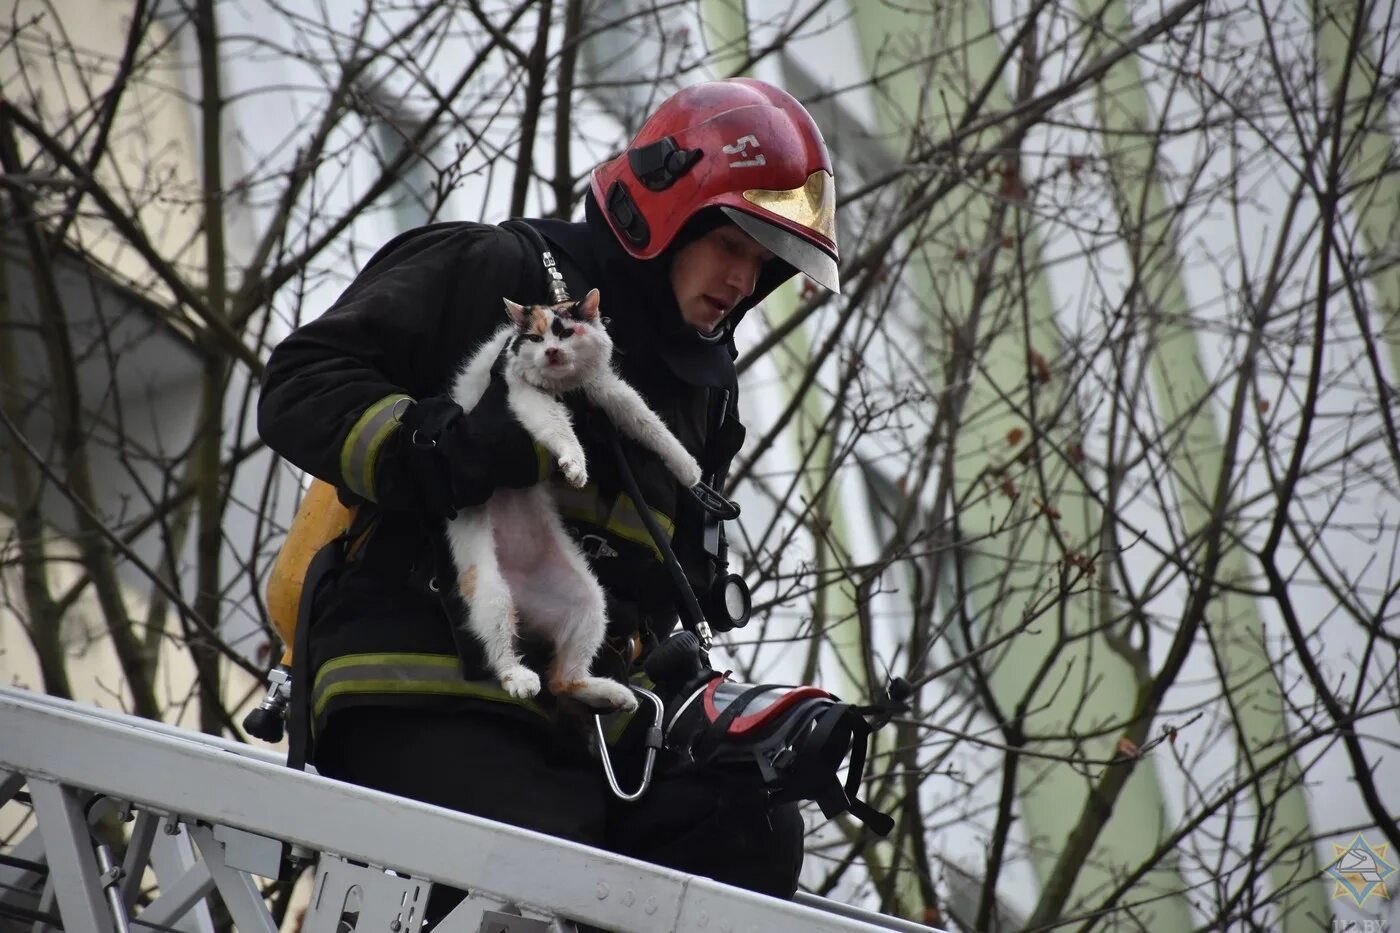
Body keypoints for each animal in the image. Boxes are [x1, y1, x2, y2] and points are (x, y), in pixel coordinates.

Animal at [445, 287, 705, 708]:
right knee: (503, 647)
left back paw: (612, 694)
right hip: (489, 590)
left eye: (565, 332)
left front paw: (687, 469)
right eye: (535, 339)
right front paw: (575, 465)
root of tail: (523, 598)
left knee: (563, 681)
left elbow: (645, 420)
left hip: (588, 601)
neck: (563, 386)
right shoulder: (524, 396)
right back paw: (519, 678)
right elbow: (558, 428)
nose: (551, 351)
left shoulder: (603, 388)